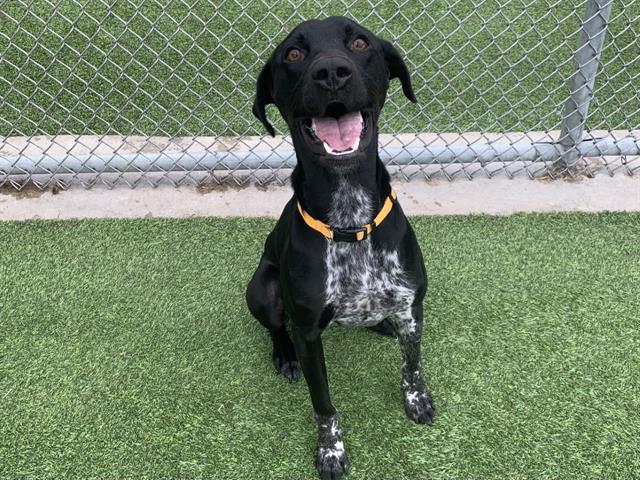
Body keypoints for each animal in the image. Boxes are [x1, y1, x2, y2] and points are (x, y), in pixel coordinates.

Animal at [245, 16, 436, 478]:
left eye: (360, 42)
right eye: (293, 54)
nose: (332, 72)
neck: (349, 220)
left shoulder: (413, 305)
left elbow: (413, 364)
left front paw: (417, 399)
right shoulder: (309, 334)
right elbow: (324, 405)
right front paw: (330, 450)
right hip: (260, 289)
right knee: (276, 327)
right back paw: (284, 356)